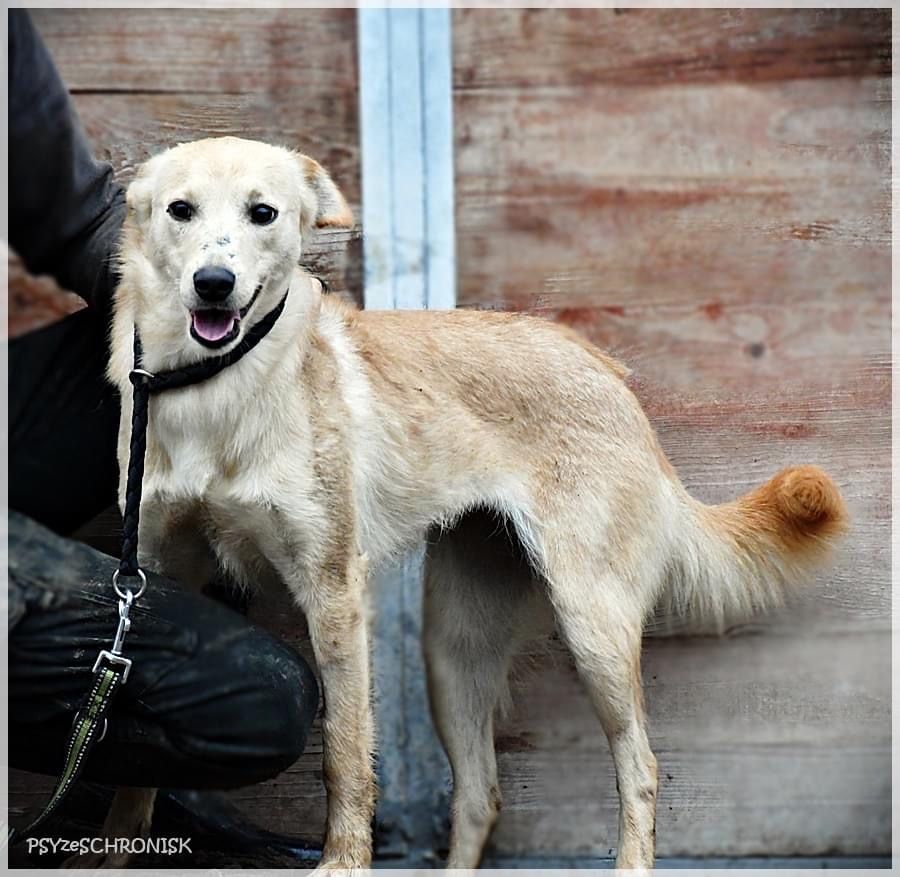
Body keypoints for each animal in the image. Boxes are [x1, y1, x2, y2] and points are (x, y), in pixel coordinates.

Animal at [88, 139, 848, 868]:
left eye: (263, 213)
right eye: (181, 210)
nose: (213, 285)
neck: (215, 389)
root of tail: (611, 376)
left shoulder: (333, 593)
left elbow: (345, 758)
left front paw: (341, 863)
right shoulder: (154, 575)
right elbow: (134, 769)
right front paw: (114, 853)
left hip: (593, 628)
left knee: (641, 768)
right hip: (453, 654)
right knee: (482, 794)